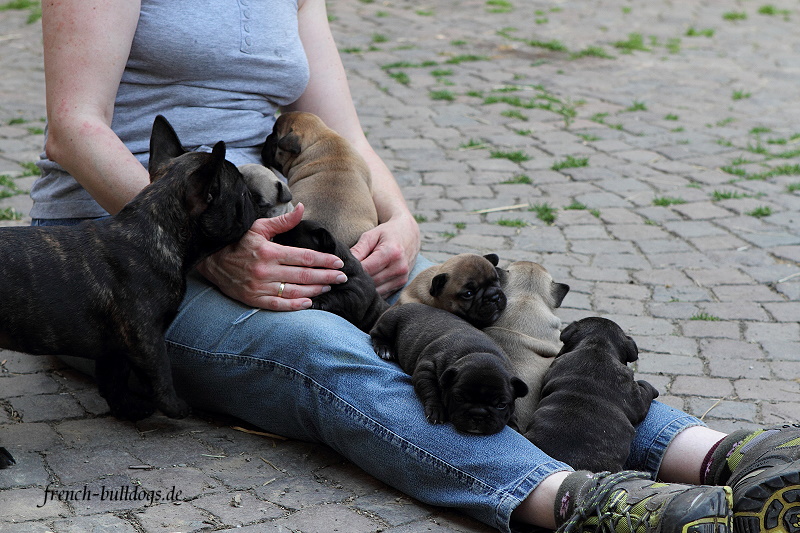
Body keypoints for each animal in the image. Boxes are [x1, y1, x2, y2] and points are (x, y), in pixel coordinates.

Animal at [370, 302, 532, 434]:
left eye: (501, 405)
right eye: (458, 398)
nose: (478, 414)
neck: (480, 352)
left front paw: (512, 421)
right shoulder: (426, 369)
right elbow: (431, 390)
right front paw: (436, 409)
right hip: (390, 323)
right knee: (376, 333)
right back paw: (385, 348)